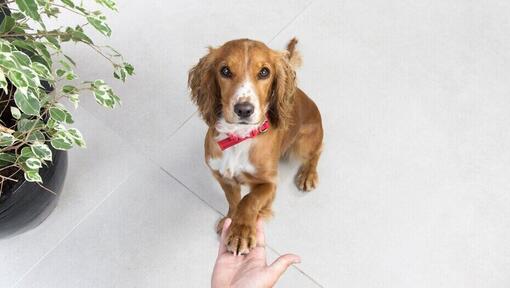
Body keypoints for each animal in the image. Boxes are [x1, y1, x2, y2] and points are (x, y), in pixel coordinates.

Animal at [187, 37, 322, 254]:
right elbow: (234, 200)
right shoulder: (222, 176)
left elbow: (249, 200)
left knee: (316, 152)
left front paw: (241, 232)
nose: (244, 109)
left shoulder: (269, 183)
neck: (239, 137)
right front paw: (231, 221)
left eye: (264, 72)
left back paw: (308, 175)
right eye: (225, 70)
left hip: (305, 142)